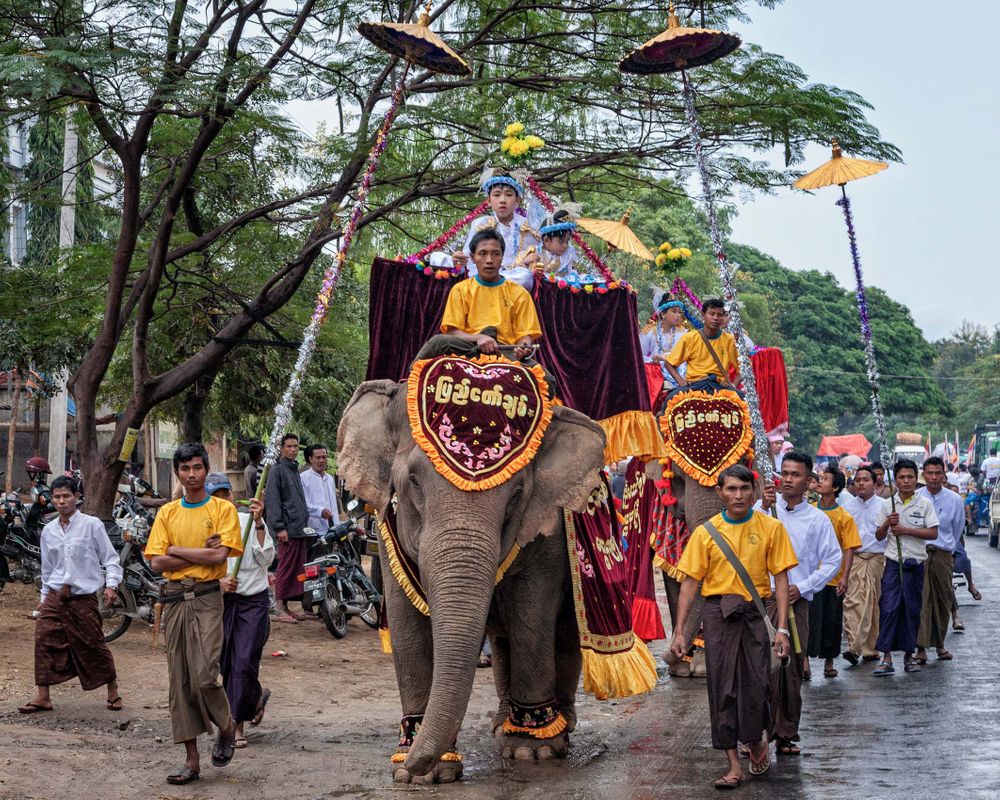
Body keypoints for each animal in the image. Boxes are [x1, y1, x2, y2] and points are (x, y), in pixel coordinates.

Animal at [336, 378, 604, 784]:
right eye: (413, 482)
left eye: (517, 495)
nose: (412, 762)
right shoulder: (386, 530)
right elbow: (406, 623)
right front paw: (419, 773)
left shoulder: (547, 526)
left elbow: (531, 613)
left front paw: (532, 750)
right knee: (503, 639)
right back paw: (500, 724)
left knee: (562, 630)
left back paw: (560, 726)